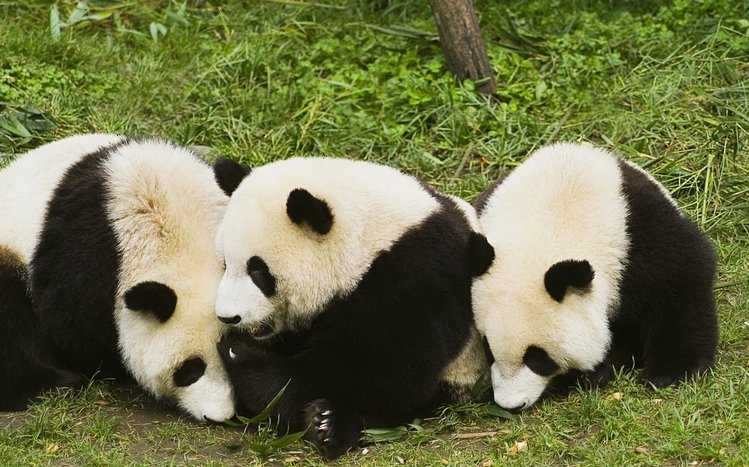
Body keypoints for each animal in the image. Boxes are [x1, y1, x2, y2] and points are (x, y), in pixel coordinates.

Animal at [212, 156, 488, 459]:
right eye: (225, 263)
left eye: (258, 271)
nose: (228, 317)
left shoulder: (414, 275)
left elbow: (380, 368)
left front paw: (239, 355)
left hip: (463, 367)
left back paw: (327, 424)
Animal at [469, 142, 718, 413]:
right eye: (488, 350)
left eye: (537, 358)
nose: (511, 404)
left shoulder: (639, 240)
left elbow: (678, 289)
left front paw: (670, 372)